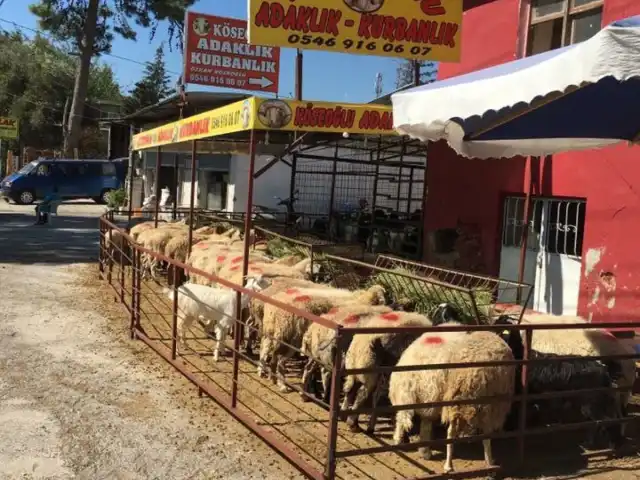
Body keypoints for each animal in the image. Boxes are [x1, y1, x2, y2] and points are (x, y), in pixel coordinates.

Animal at [388, 324, 516, 474]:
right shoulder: (492, 407)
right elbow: (486, 437)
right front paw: (490, 461)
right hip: (460, 402)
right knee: (450, 433)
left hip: (431, 398)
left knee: (417, 420)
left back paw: (420, 450)